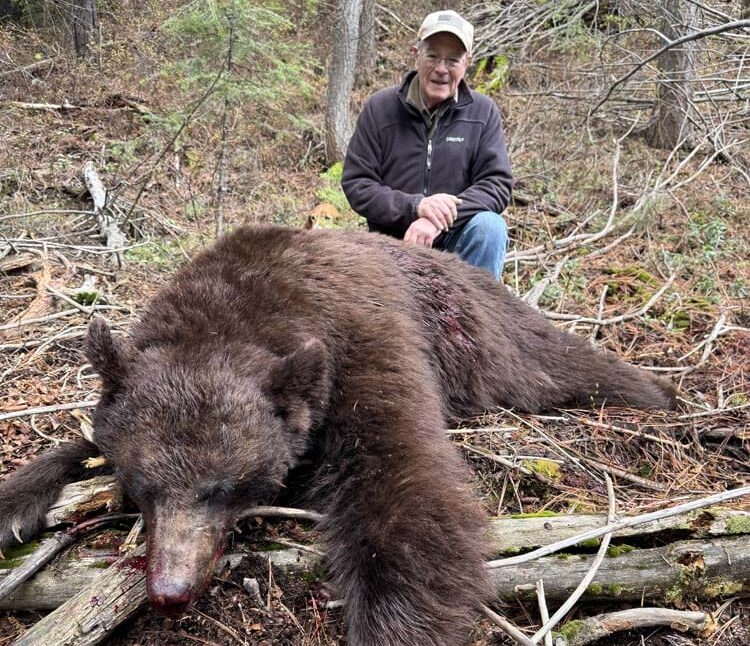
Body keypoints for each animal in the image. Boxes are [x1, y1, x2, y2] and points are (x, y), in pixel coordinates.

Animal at [0, 225, 676, 646]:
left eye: (223, 487)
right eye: (143, 486)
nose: (170, 590)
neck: (244, 310)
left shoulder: (365, 344)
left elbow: (403, 483)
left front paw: (396, 626)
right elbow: (79, 444)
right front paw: (16, 502)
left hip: (483, 337)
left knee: (561, 363)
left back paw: (660, 392)